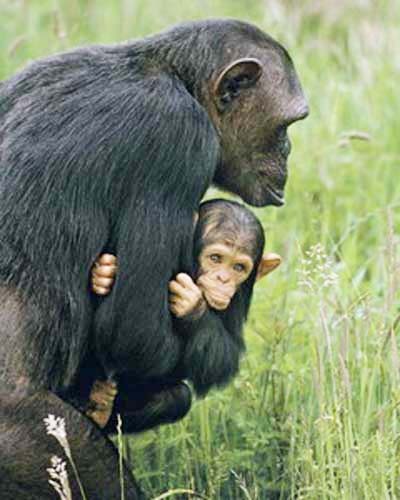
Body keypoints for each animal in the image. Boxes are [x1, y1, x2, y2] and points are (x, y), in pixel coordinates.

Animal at [87, 199, 282, 430]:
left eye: (238, 267)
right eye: (216, 258)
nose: (223, 279)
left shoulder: (237, 303)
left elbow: (221, 358)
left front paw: (192, 305)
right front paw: (103, 274)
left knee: (177, 397)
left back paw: (103, 410)